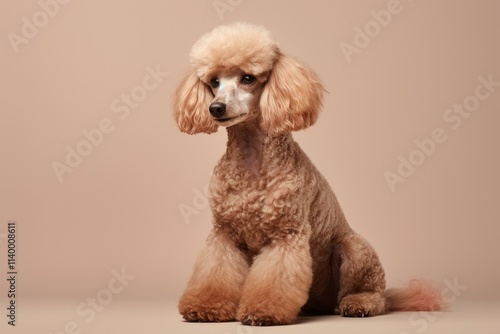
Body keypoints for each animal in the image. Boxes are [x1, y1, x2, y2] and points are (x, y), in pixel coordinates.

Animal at [172, 22, 442, 326]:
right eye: (214, 82)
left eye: (248, 78)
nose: (215, 108)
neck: (251, 158)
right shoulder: (224, 235)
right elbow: (214, 274)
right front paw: (205, 306)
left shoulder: (287, 235)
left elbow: (274, 280)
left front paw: (263, 311)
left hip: (355, 250)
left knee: (373, 294)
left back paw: (360, 303)